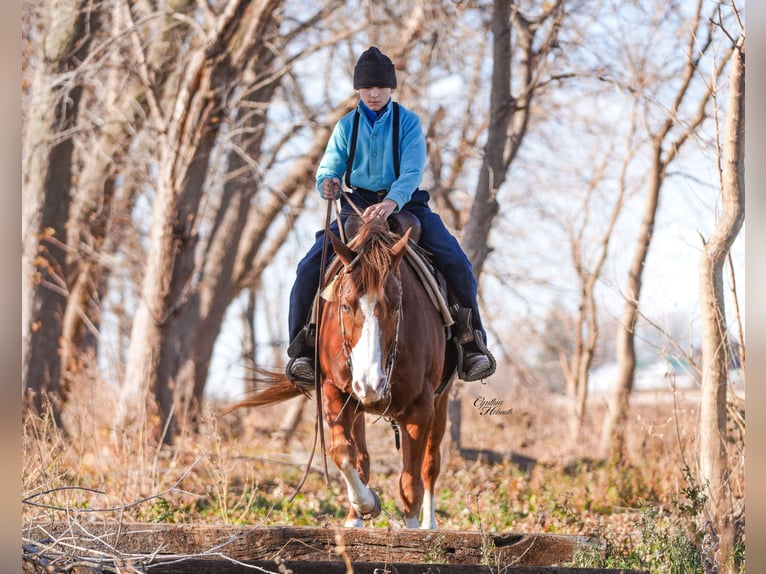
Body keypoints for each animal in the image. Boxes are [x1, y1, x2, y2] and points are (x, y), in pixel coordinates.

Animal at [230, 217, 455, 529]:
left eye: (396, 306)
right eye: (346, 304)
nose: (371, 383)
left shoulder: (420, 405)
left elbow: (411, 483)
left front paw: (412, 532)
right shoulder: (334, 392)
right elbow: (343, 454)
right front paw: (367, 504)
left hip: (440, 402)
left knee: (430, 466)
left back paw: (429, 525)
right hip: (357, 405)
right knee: (363, 459)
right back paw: (354, 520)